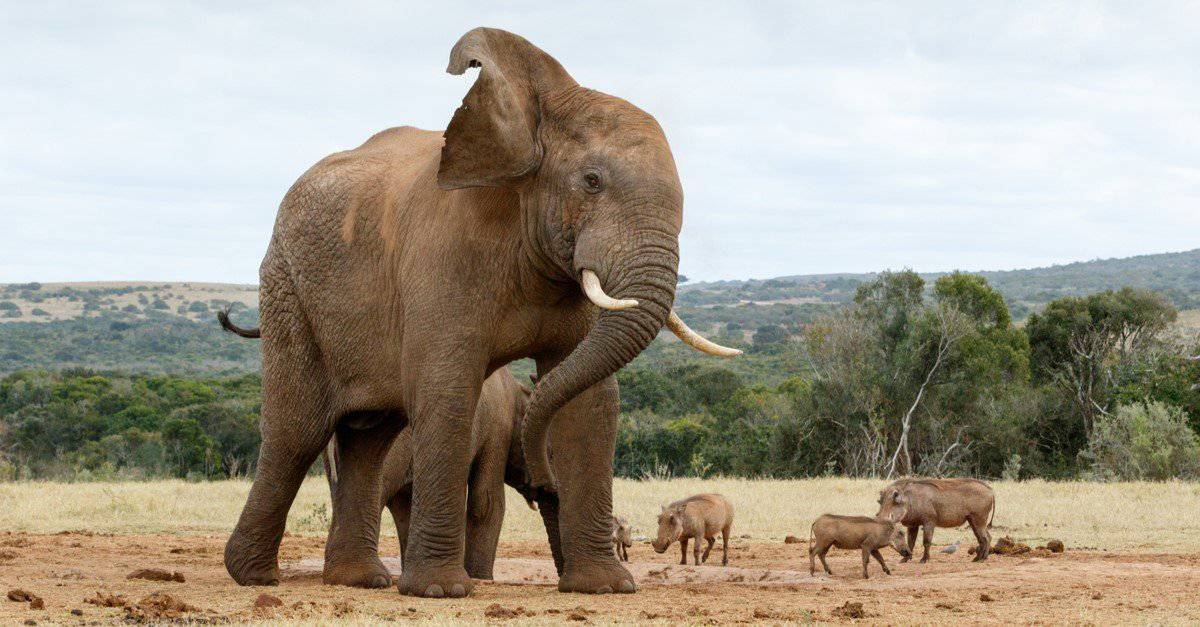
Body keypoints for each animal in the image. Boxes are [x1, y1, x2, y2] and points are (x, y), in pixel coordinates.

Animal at [220, 25, 734, 595]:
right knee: (297, 431)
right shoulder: (444, 256)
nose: (543, 475)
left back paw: (359, 580)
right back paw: (254, 577)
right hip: (287, 287)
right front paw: (440, 591)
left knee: (370, 440)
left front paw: (605, 587)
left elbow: (591, 401)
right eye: (592, 181)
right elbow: (449, 391)